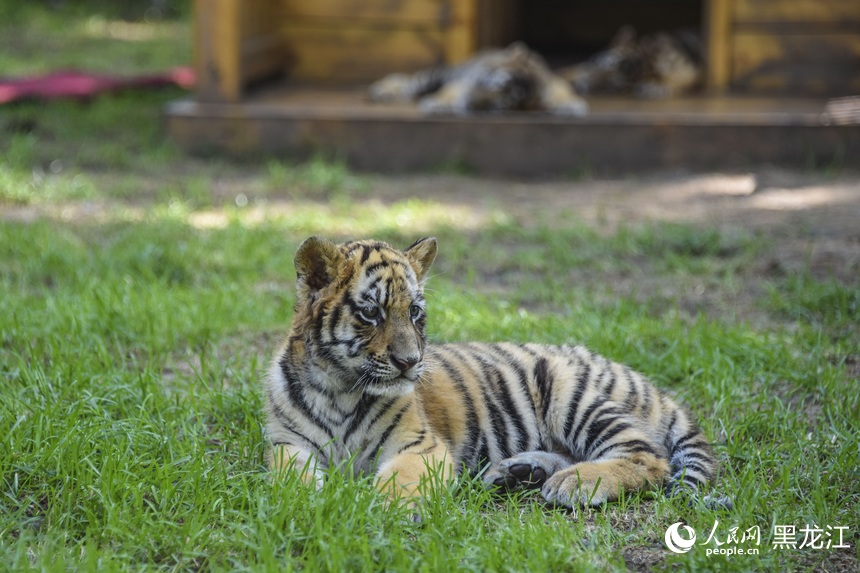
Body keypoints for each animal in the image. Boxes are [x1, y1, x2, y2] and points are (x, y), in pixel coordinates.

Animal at [265, 237, 721, 510]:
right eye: (371, 313)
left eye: (414, 313)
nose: (410, 362)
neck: (340, 389)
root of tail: (642, 379)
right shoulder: (288, 446)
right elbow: (290, 481)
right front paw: (308, 505)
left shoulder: (420, 446)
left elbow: (400, 482)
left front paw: (384, 510)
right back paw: (518, 473)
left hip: (571, 394)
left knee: (648, 456)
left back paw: (573, 484)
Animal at [368, 42, 588, 116]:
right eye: (497, 85)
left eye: (499, 106)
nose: (471, 105)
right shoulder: (462, 83)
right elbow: (447, 94)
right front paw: (440, 105)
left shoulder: (554, 83)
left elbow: (563, 93)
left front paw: (570, 105)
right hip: (441, 73)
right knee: (407, 80)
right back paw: (383, 91)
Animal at [558, 26, 703, 99]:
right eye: (599, 66)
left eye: (609, 85)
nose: (577, 85)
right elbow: (575, 68)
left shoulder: (689, 73)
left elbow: (681, 80)